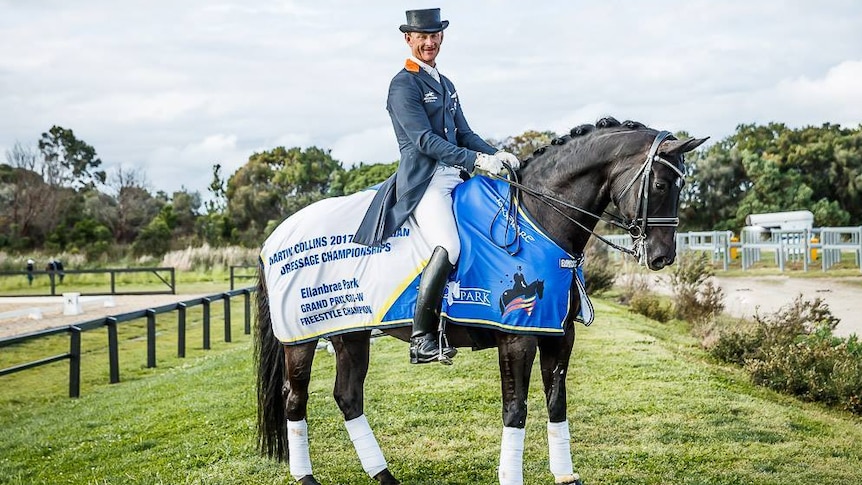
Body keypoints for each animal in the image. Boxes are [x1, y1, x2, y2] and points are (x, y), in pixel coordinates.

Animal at [251, 118, 708, 484]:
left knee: (348, 397)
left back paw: (383, 476)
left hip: (351, 332)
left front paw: (565, 476)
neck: (536, 218)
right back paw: (306, 477)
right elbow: (515, 410)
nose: (662, 257)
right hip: (302, 339)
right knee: (295, 400)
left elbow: (556, 404)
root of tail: (274, 236)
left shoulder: (558, 335)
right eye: (662, 184)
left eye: (682, 185)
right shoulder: (517, 336)